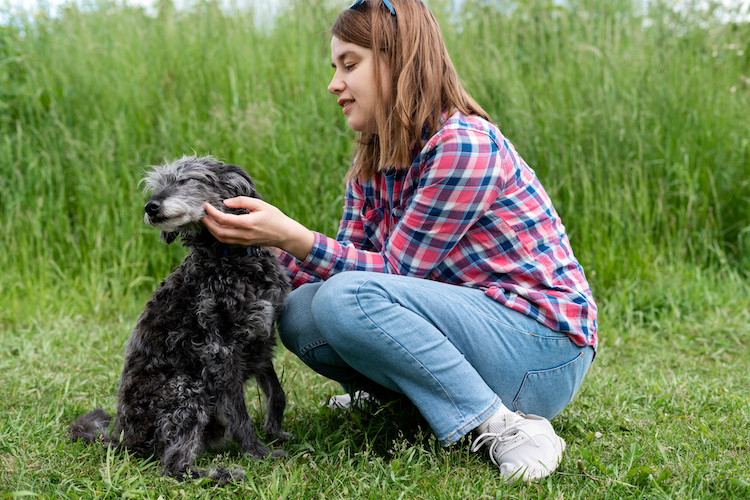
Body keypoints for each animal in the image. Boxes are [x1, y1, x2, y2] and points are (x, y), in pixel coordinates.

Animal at [69, 154, 290, 482]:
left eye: (187, 180)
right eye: (157, 185)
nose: (150, 206)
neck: (231, 260)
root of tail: (123, 437)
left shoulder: (261, 342)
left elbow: (277, 393)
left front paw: (275, 431)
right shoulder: (221, 354)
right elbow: (240, 413)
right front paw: (257, 452)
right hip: (187, 390)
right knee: (174, 466)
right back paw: (221, 474)